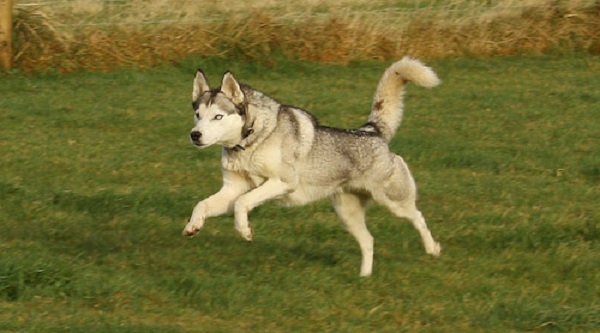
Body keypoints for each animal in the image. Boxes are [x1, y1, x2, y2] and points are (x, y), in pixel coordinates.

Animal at [182, 57, 440, 274]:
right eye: (198, 114)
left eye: (218, 116)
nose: (195, 135)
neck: (250, 140)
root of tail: (372, 130)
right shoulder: (232, 189)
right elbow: (202, 204)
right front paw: (193, 226)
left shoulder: (282, 182)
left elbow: (242, 203)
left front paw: (244, 230)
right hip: (348, 215)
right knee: (369, 241)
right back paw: (364, 277)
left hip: (394, 201)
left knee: (418, 217)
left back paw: (432, 249)